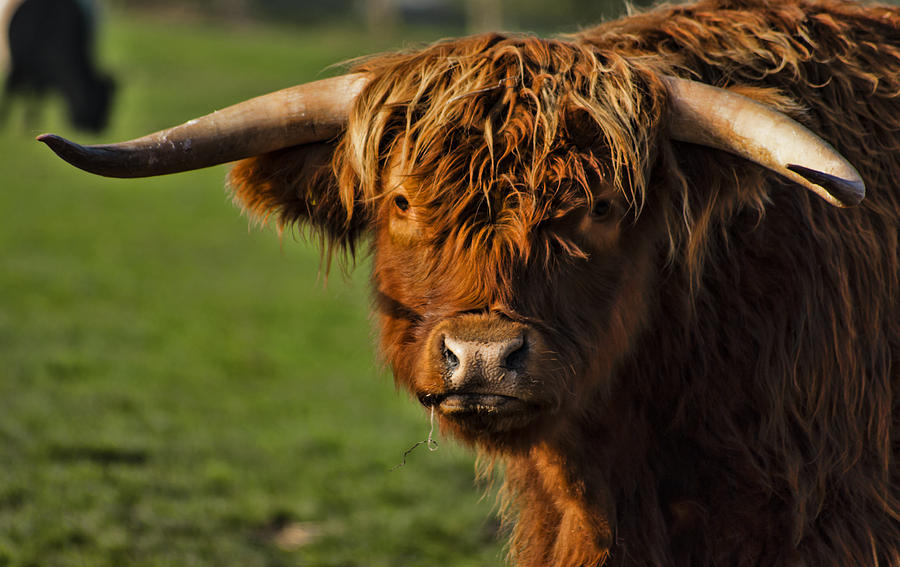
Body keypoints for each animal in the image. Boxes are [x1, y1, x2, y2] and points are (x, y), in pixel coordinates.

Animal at [1, 0, 114, 133]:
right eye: (98, 100)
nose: (101, 126)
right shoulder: (15, 67)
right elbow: (9, 98)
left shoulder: (43, 79)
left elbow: (36, 102)